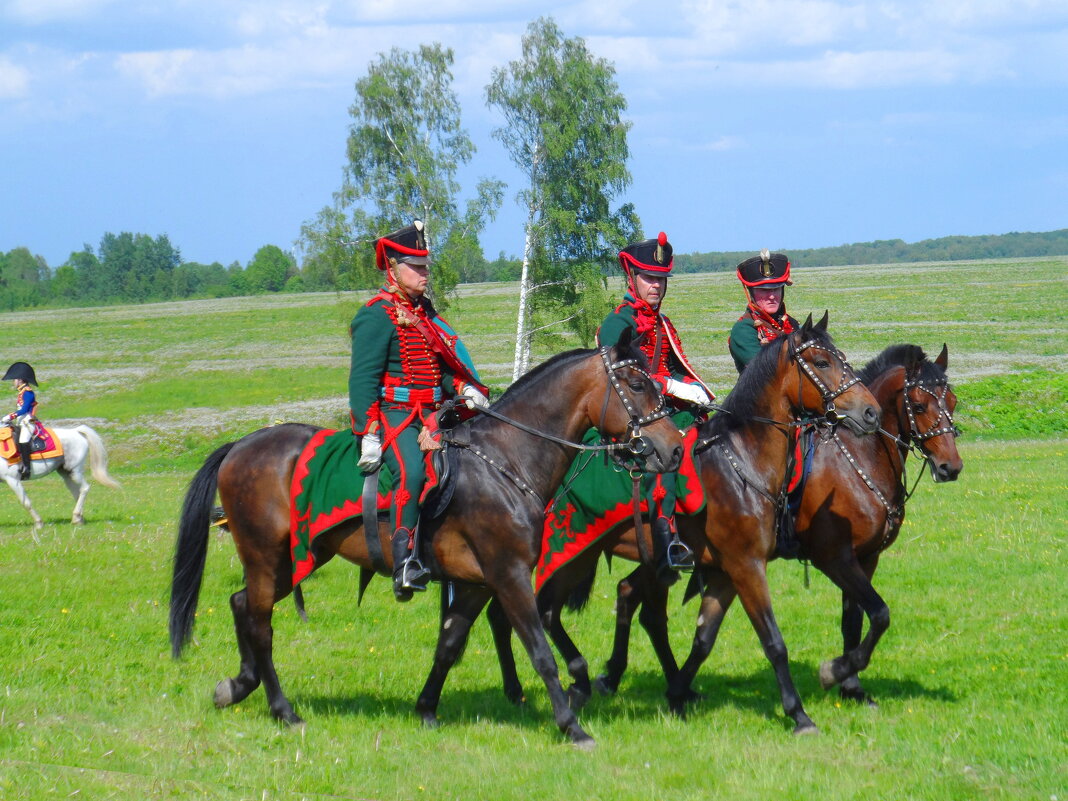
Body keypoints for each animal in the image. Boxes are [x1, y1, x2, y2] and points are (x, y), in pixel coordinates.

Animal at [169, 339, 679, 751]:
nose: (673, 449)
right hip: (269, 557)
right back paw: (282, 709)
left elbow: (449, 644)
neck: (506, 460)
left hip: (294, 560)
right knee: (260, 624)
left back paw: (238, 685)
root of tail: (239, 446)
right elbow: (540, 651)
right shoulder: (509, 576)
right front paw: (571, 726)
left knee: (241, 604)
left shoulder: (476, 583)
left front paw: (427, 708)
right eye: (636, 383)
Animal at [489, 313, 880, 734]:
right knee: (534, 612)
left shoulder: (725, 573)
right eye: (822, 362)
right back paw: (551, 684)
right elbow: (774, 642)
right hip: (567, 553)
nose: (870, 412)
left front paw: (678, 692)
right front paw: (799, 713)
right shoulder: (747, 566)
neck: (742, 463)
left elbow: (704, 638)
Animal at [563, 343, 965, 721]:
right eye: (918, 404)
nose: (951, 467)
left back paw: (628, 677)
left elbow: (854, 623)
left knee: (631, 596)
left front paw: (851, 686)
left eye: (951, 401)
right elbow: (879, 614)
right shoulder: (833, 557)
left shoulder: (865, 558)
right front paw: (834, 674)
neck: (856, 458)